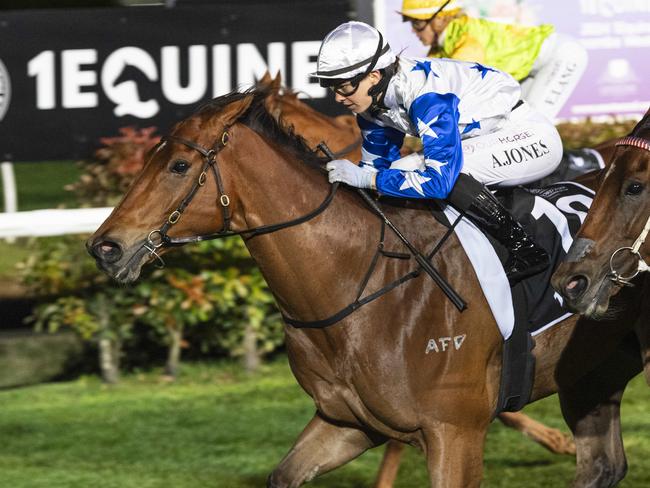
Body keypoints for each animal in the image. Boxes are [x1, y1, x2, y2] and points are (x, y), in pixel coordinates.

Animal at [87, 90, 644, 484]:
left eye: (179, 166)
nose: (106, 246)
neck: (361, 286)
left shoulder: (456, 432)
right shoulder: (347, 424)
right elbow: (284, 474)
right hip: (594, 372)